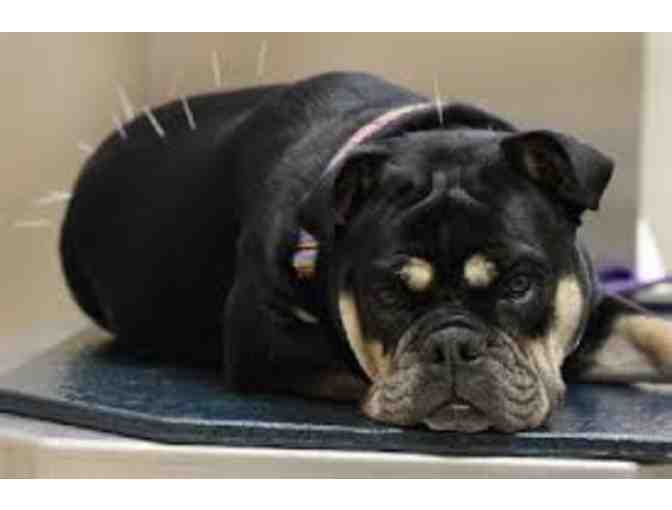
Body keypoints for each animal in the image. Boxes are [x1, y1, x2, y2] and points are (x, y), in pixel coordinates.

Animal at [60, 71, 672, 432]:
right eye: (388, 295)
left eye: (520, 284)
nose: (453, 346)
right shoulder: (267, 342)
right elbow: (362, 371)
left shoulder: (589, 305)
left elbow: (653, 330)